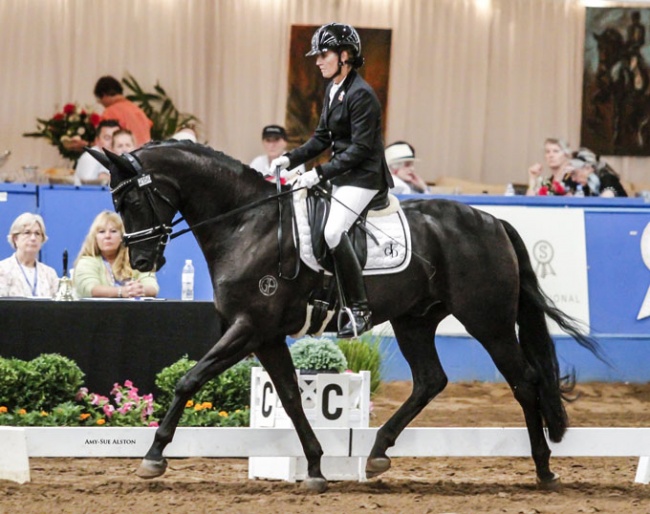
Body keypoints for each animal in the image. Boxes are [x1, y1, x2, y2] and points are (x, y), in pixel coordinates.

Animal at [90, 141, 596, 492]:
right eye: (116, 205)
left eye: (130, 202)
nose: (142, 262)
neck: (246, 225)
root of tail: (493, 221)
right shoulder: (265, 336)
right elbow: (290, 398)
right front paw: (315, 467)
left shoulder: (248, 328)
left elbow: (188, 380)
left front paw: (154, 456)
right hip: (415, 320)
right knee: (430, 380)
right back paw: (377, 452)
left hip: (488, 322)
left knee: (525, 382)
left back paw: (544, 469)